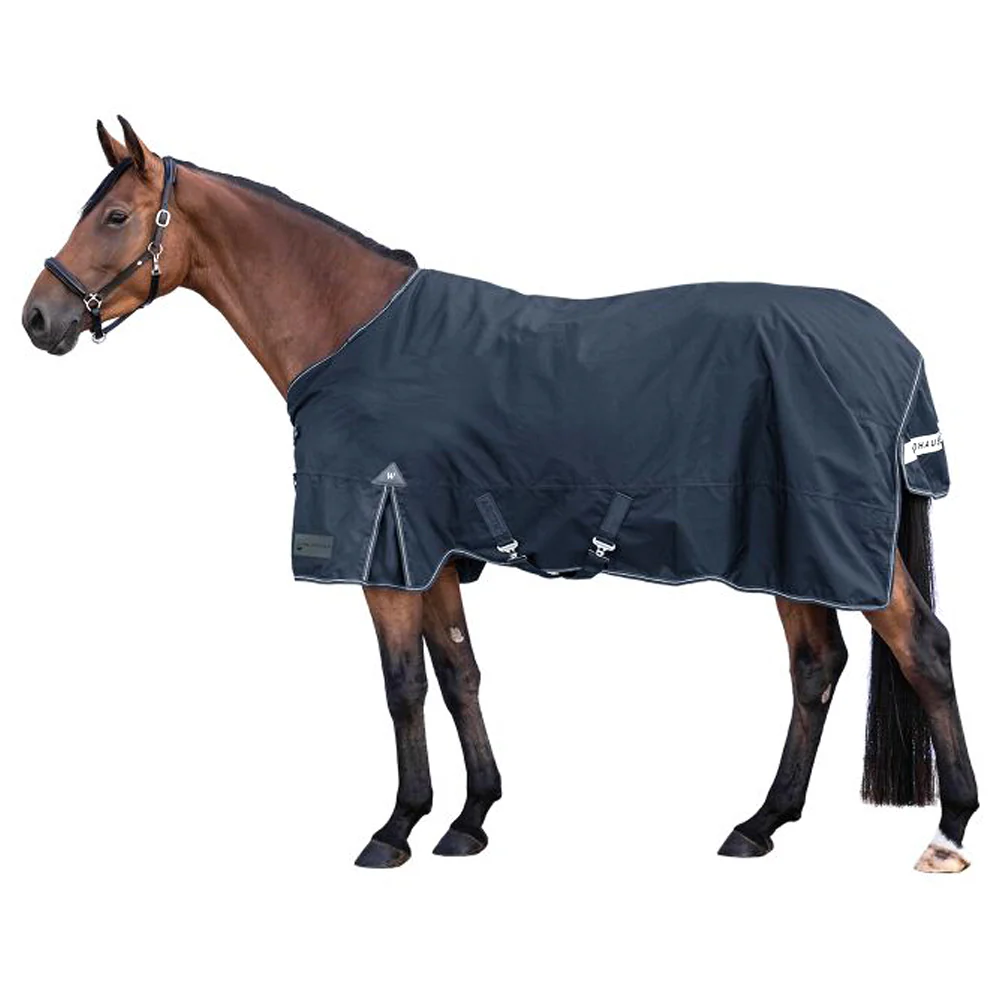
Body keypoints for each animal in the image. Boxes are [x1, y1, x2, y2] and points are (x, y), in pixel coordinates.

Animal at [21, 117, 979, 872]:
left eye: (113, 216)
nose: (37, 319)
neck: (353, 331)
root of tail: (893, 345)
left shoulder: (385, 551)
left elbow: (403, 684)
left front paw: (396, 828)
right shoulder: (433, 551)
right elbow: (459, 673)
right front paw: (471, 819)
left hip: (828, 538)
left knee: (921, 647)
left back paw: (950, 829)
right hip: (787, 544)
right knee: (817, 666)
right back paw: (760, 824)